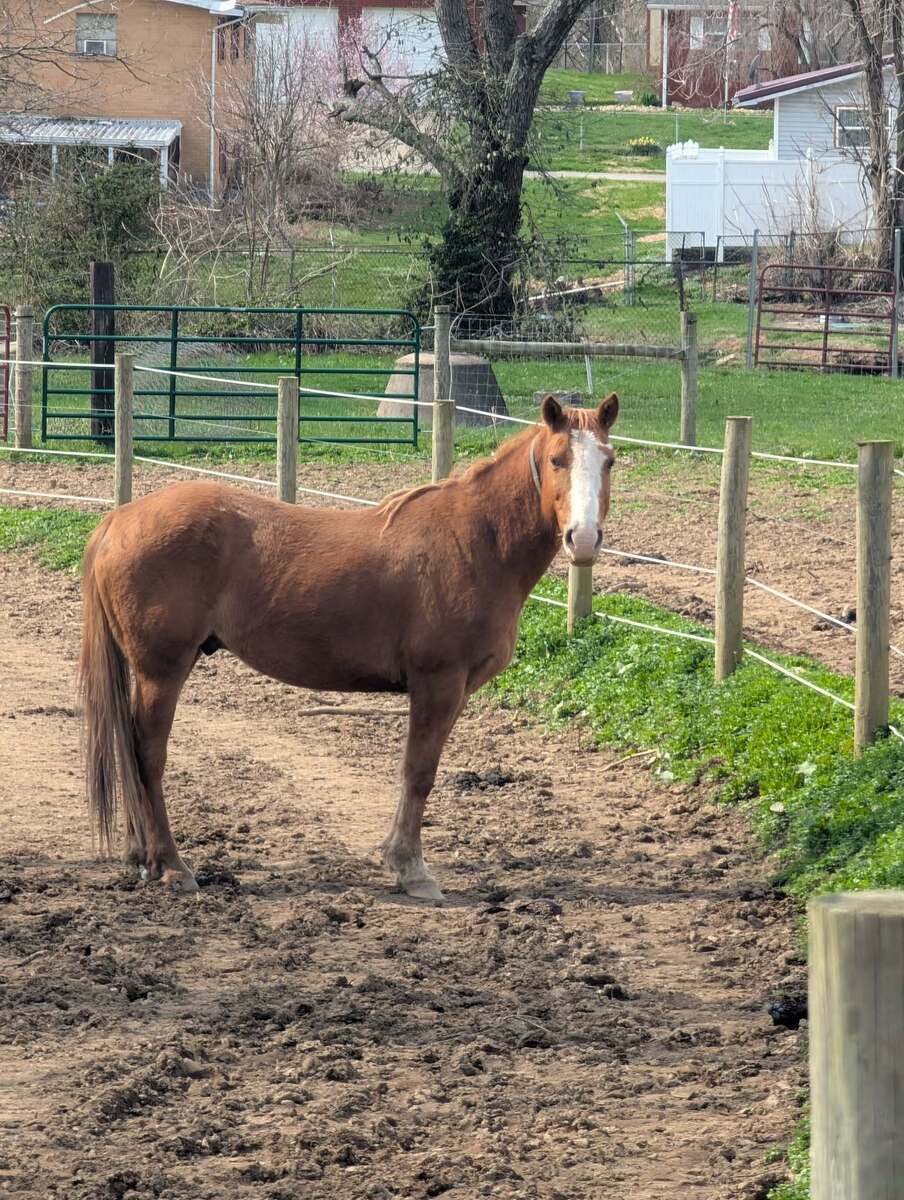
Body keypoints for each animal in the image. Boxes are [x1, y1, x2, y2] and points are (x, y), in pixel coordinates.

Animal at [79, 393, 618, 901]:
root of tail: (119, 519)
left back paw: (142, 856)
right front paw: (411, 870)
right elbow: (419, 772)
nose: (583, 539)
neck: (474, 542)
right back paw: (172, 865)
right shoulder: (438, 684)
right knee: (148, 755)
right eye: (557, 459)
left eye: (609, 460)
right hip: (162, 670)